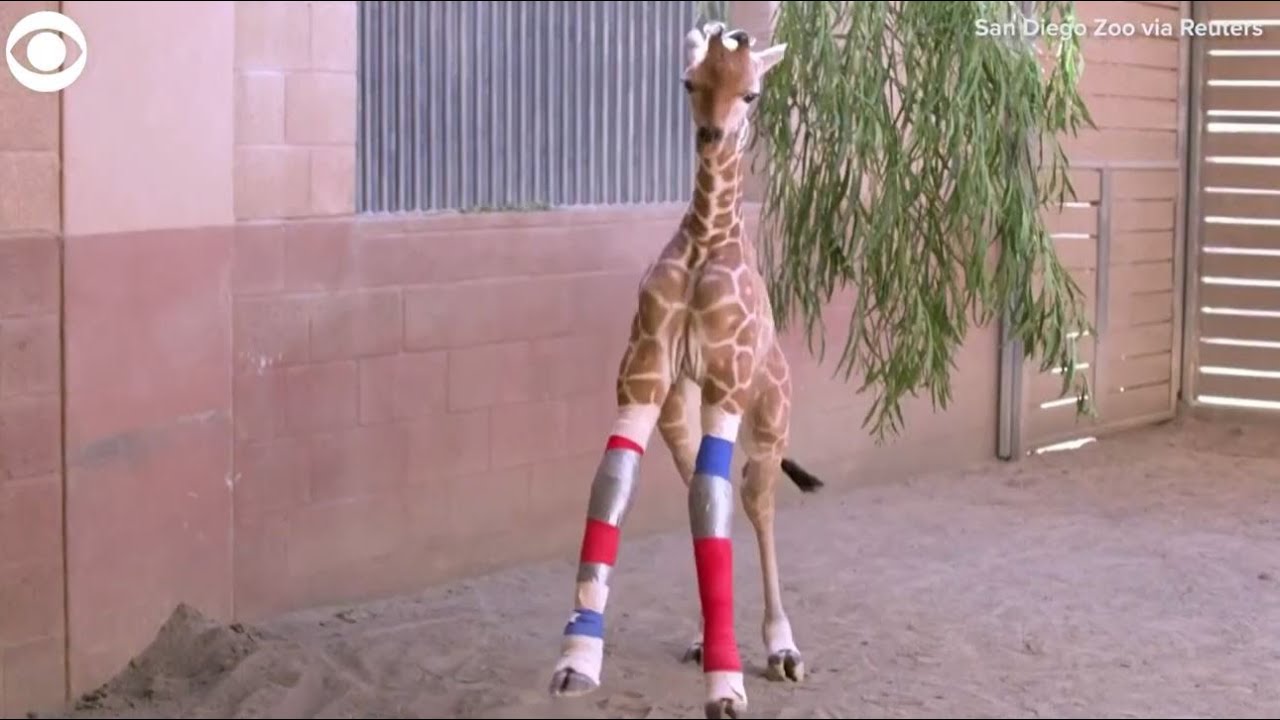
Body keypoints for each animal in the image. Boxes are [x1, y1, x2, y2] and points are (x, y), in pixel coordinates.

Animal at [547, 21, 821, 719]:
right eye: (690, 82)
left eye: (752, 92)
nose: (713, 135)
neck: (704, 241)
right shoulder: (642, 380)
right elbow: (613, 485)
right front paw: (576, 659)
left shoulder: (727, 383)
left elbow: (715, 502)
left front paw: (728, 685)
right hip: (681, 415)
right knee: (705, 489)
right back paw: (704, 638)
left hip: (770, 414)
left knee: (754, 500)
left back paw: (781, 649)